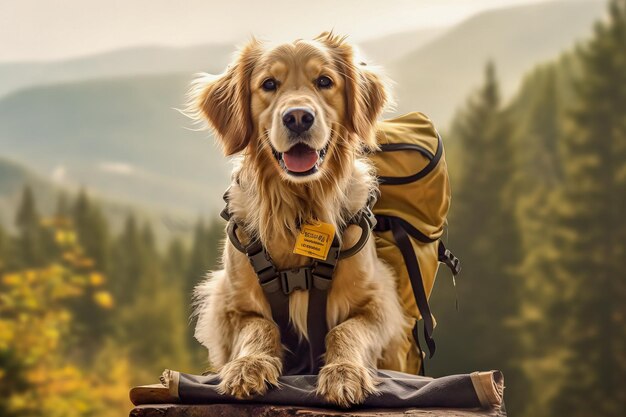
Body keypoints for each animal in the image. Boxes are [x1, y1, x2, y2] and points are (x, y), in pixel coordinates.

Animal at [188, 31, 408, 406]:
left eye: (324, 81)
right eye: (268, 84)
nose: (298, 118)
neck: (299, 212)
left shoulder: (380, 304)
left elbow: (345, 329)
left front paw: (344, 372)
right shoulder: (228, 308)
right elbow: (262, 326)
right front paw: (248, 366)